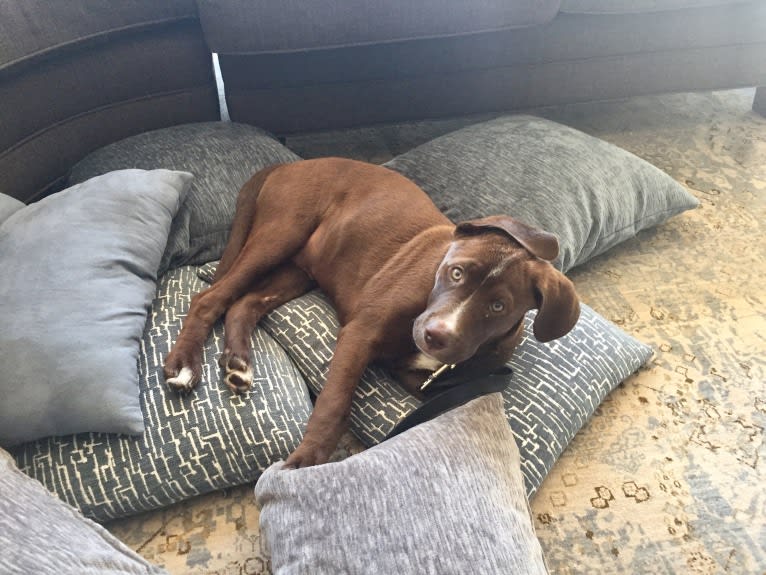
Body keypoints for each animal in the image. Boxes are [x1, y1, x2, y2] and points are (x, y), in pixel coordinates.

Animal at [165, 158, 580, 468]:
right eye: (456, 272)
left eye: (498, 307)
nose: (436, 336)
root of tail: (289, 164)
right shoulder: (360, 333)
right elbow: (334, 402)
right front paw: (306, 461)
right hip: (279, 234)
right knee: (210, 298)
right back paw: (185, 365)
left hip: (299, 270)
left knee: (243, 303)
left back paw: (238, 361)